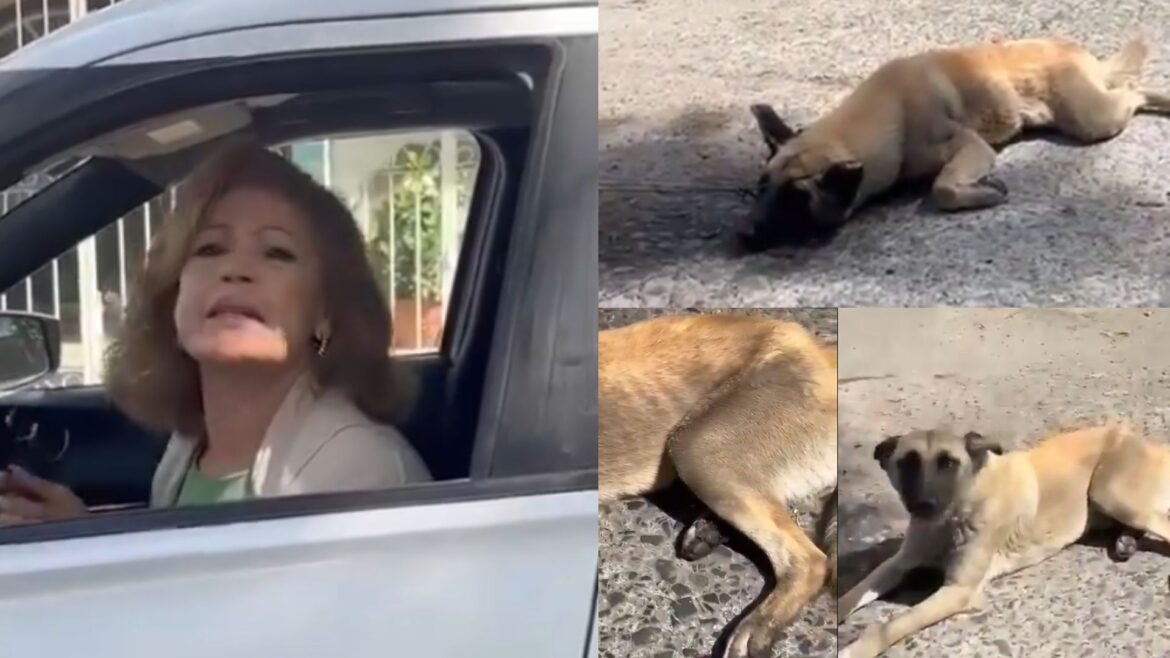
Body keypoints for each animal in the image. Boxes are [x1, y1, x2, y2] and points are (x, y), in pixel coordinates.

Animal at [739, 33, 1170, 248]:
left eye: (796, 198)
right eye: (760, 188)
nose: (744, 234)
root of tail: (1074, 50)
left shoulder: (970, 147)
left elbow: (943, 188)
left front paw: (981, 193)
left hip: (1092, 120)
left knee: (1133, 92)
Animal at [837, 421, 1170, 650]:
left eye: (948, 463)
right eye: (907, 463)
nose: (924, 505)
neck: (955, 517)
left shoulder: (958, 590)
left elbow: (892, 625)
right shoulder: (897, 564)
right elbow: (855, 591)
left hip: (1110, 494)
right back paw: (1126, 541)